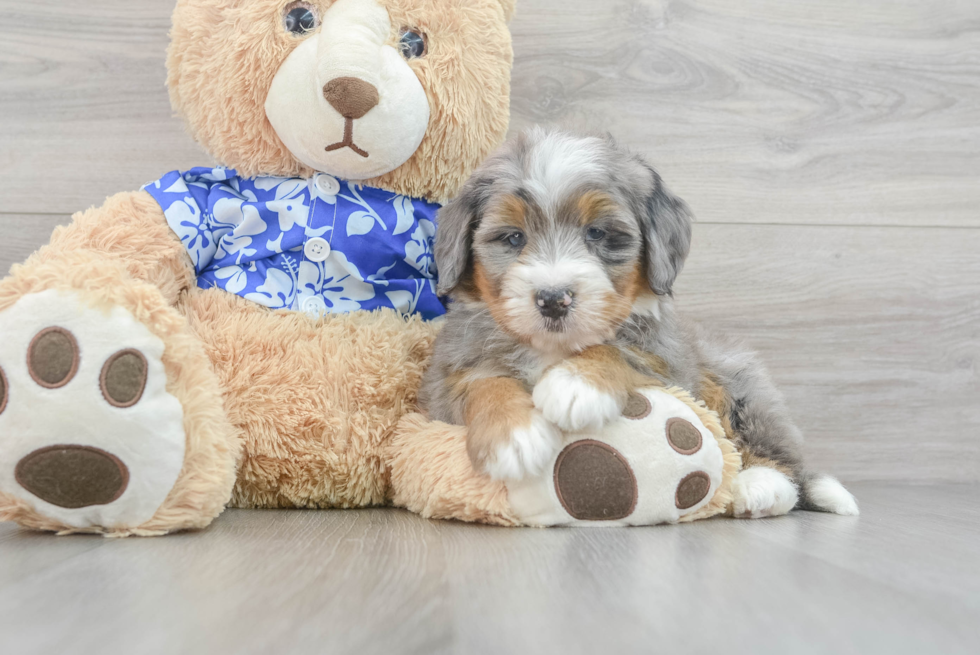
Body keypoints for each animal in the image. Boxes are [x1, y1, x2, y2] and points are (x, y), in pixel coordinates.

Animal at [422, 127, 856, 516]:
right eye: (513, 238)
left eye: (597, 232)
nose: (553, 299)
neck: (553, 349)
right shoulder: (443, 381)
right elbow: (484, 383)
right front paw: (514, 436)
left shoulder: (672, 369)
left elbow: (620, 352)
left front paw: (575, 385)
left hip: (737, 381)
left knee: (777, 456)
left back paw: (760, 487)